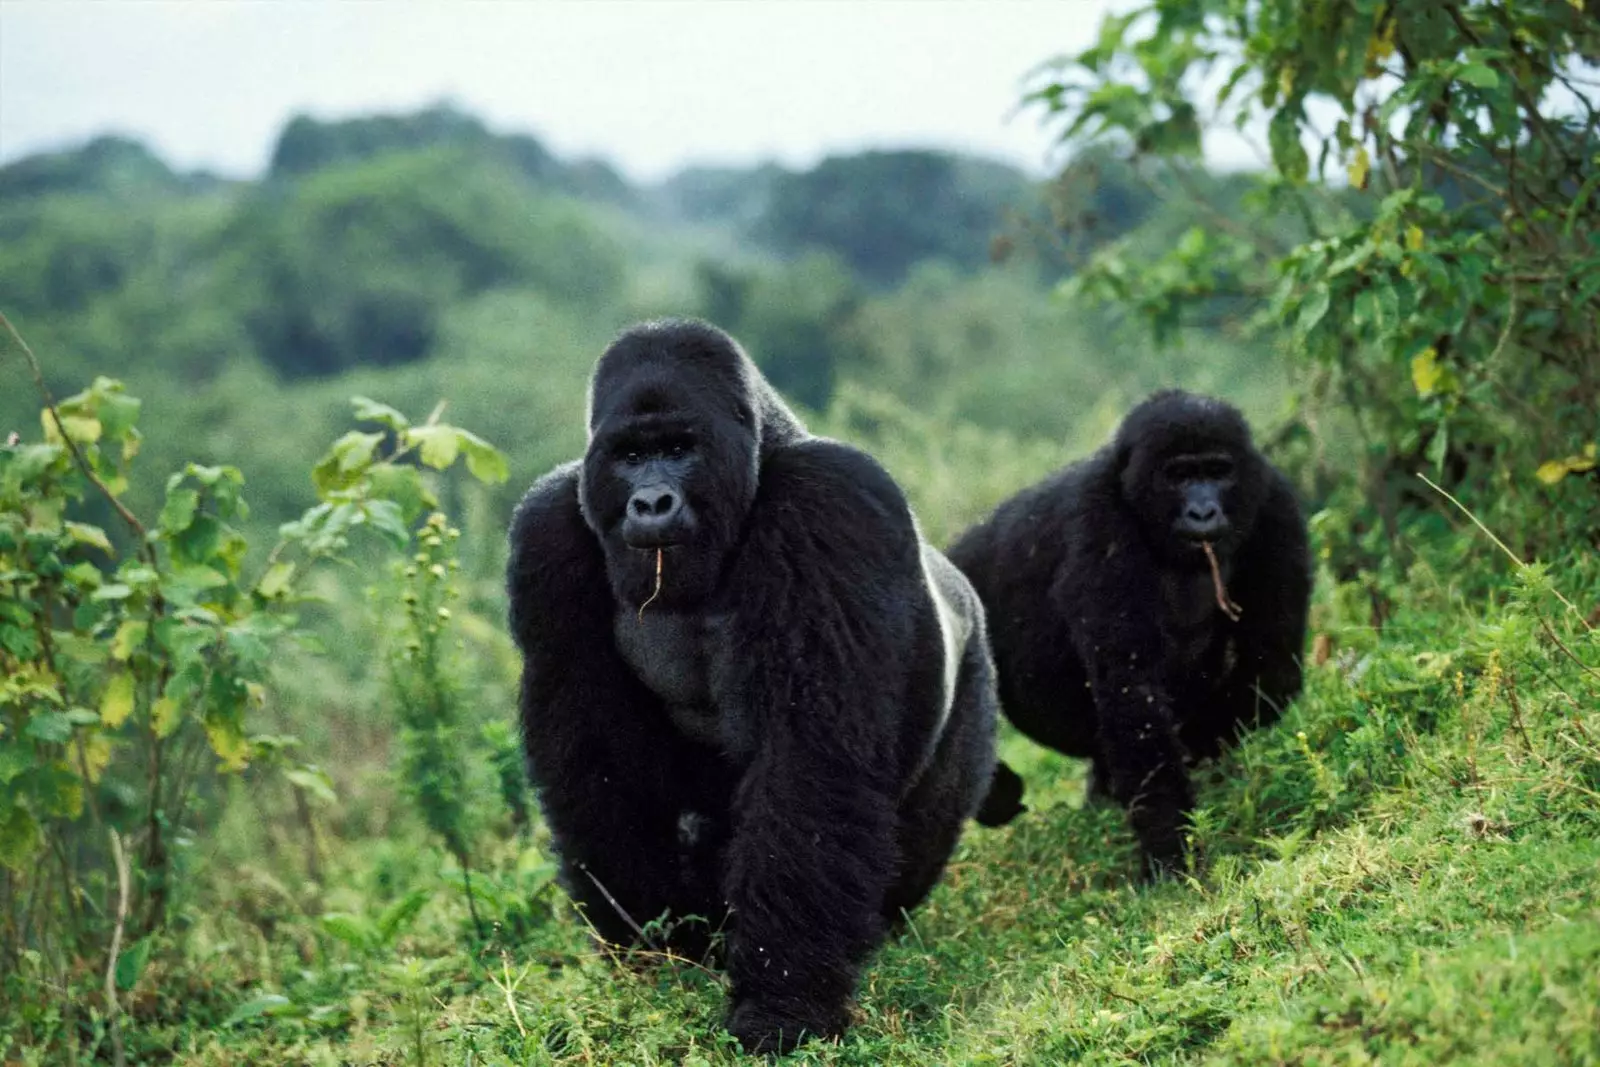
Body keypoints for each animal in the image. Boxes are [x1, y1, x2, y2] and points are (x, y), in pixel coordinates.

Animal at [505, 316, 998, 1049]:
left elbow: (807, 763)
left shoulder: (830, 502)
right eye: (631, 456)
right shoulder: (547, 531)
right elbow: (592, 764)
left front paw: (781, 1005)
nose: (651, 500)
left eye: (679, 449)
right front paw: (653, 945)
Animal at [947, 390, 1312, 876]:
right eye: (1178, 476)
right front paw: (1170, 853)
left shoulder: (1275, 502)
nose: (1203, 511)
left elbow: (1269, 669)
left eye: (1218, 472)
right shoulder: (1101, 521)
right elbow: (1133, 695)